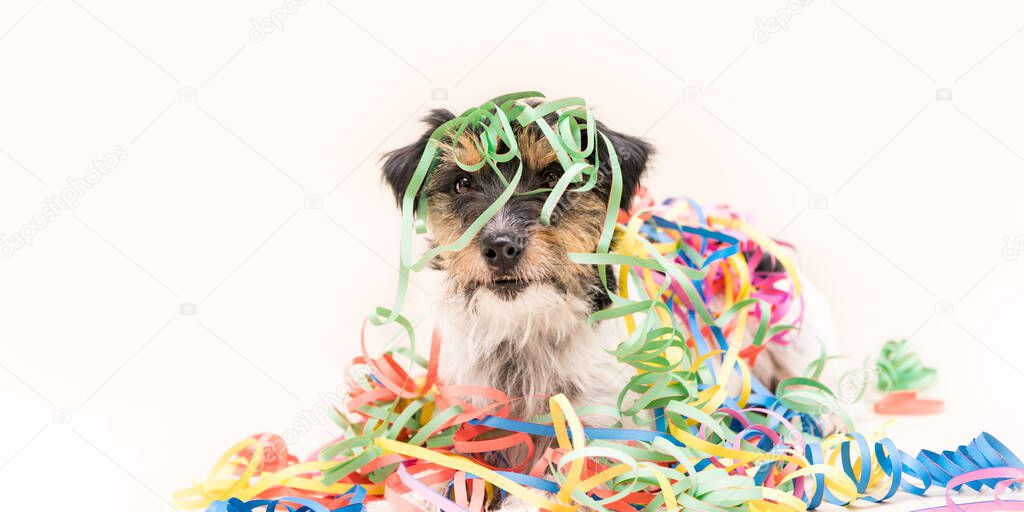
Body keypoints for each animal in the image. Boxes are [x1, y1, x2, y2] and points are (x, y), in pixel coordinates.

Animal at [376, 105, 839, 509]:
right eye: (462, 184)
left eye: (554, 177)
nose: (501, 246)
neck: (529, 327)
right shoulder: (472, 416)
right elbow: (456, 468)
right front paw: (426, 494)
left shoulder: (607, 435)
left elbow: (563, 478)